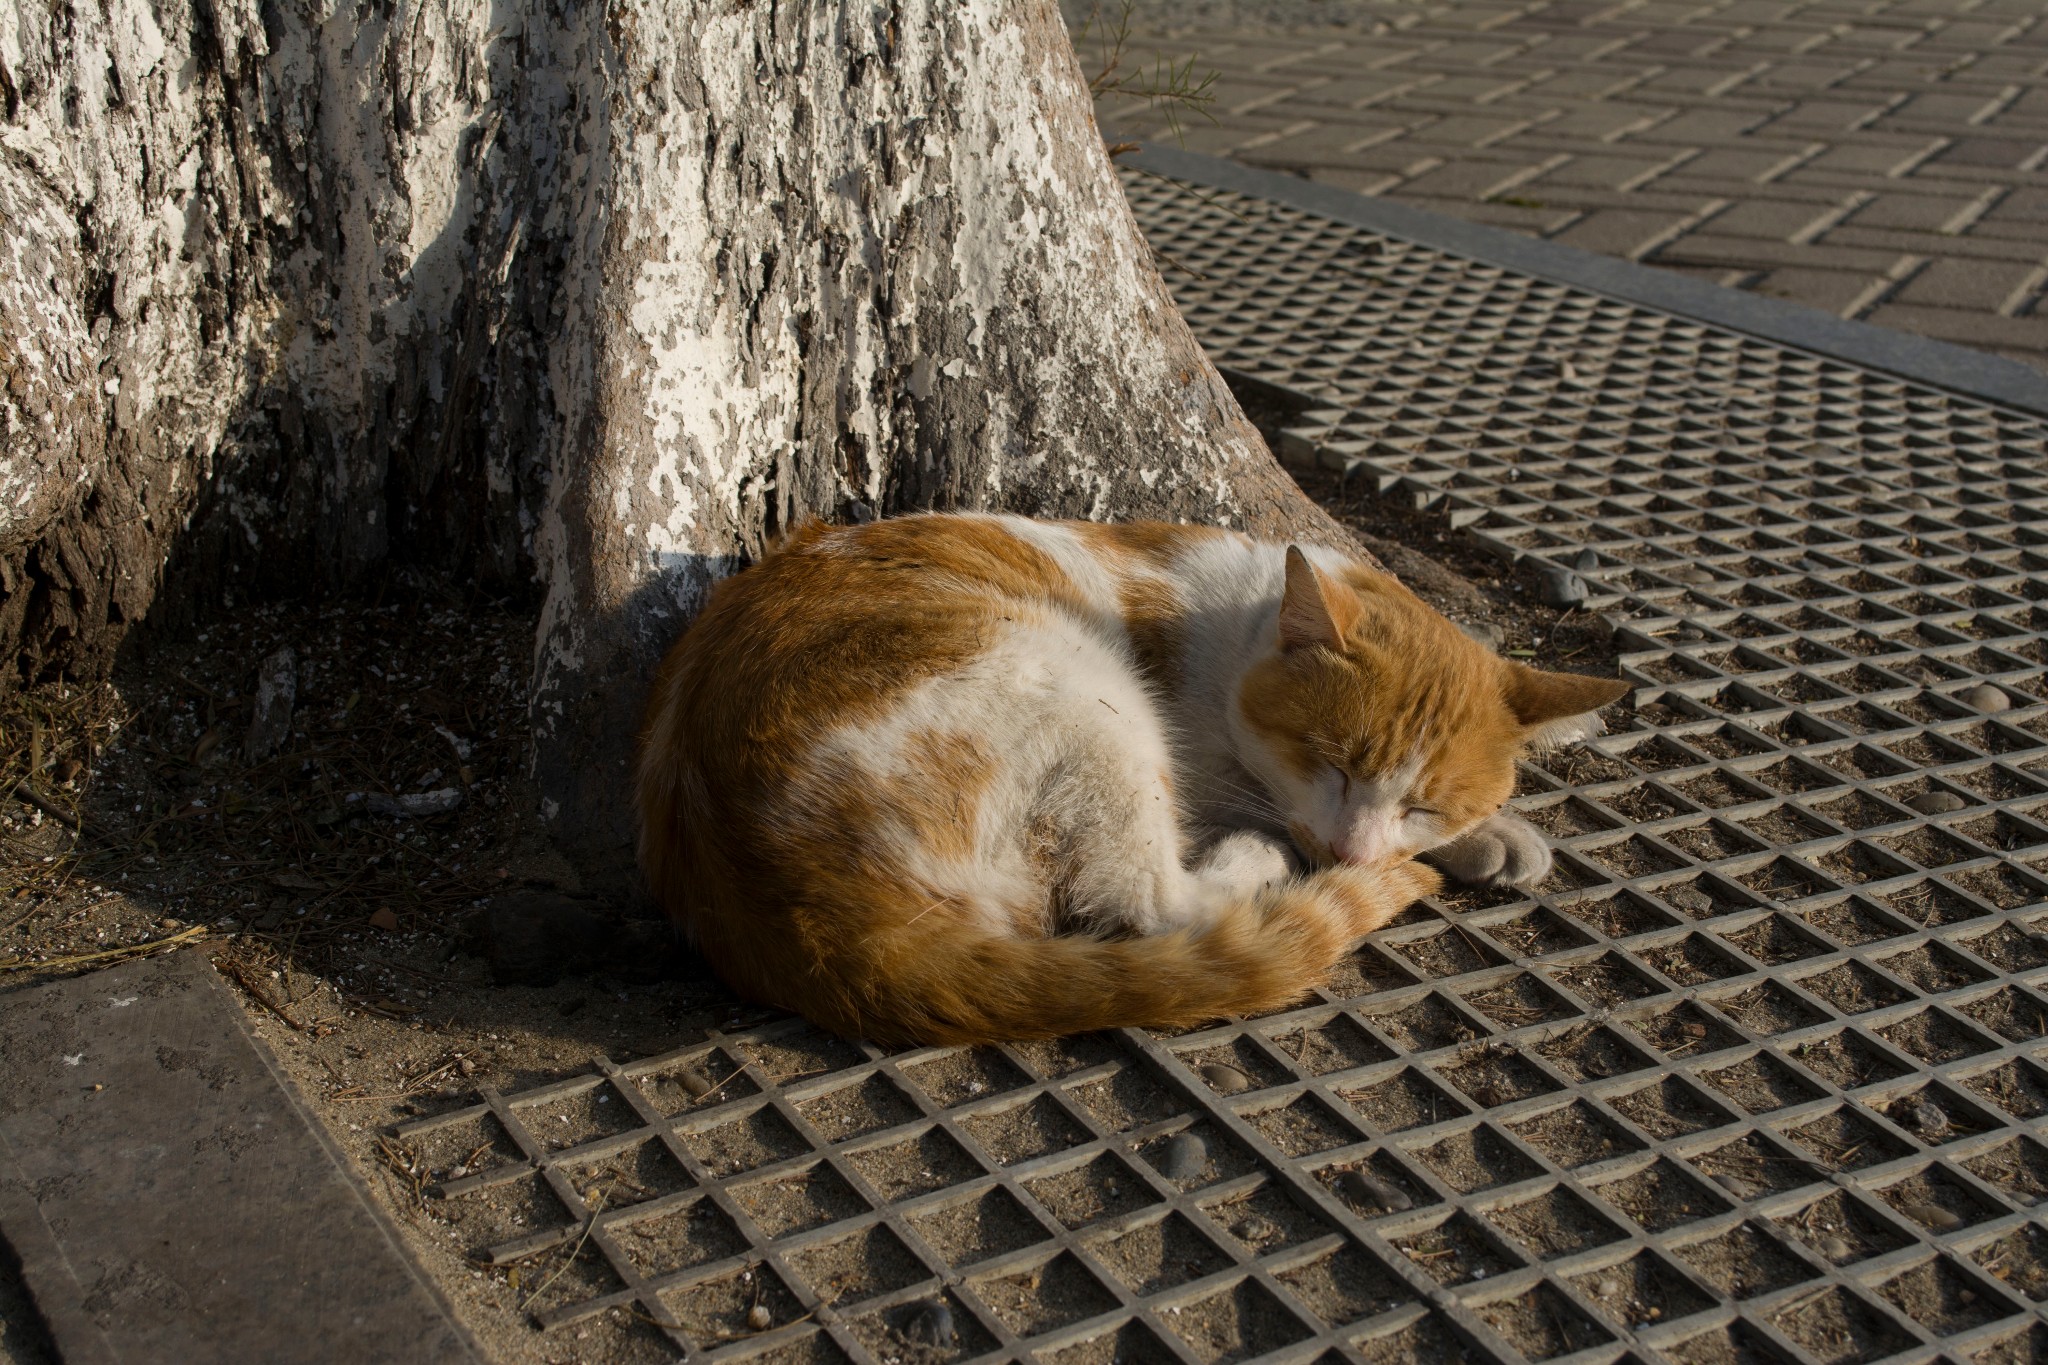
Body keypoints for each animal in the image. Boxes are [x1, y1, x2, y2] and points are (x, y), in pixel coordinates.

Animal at [638, 511, 1630, 1047]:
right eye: (1331, 761)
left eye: (1424, 801)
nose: (1353, 848)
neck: (1237, 630)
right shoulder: (1224, 771)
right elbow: (1269, 821)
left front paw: (1494, 835)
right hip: (1083, 696)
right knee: (1152, 903)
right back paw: (1257, 862)